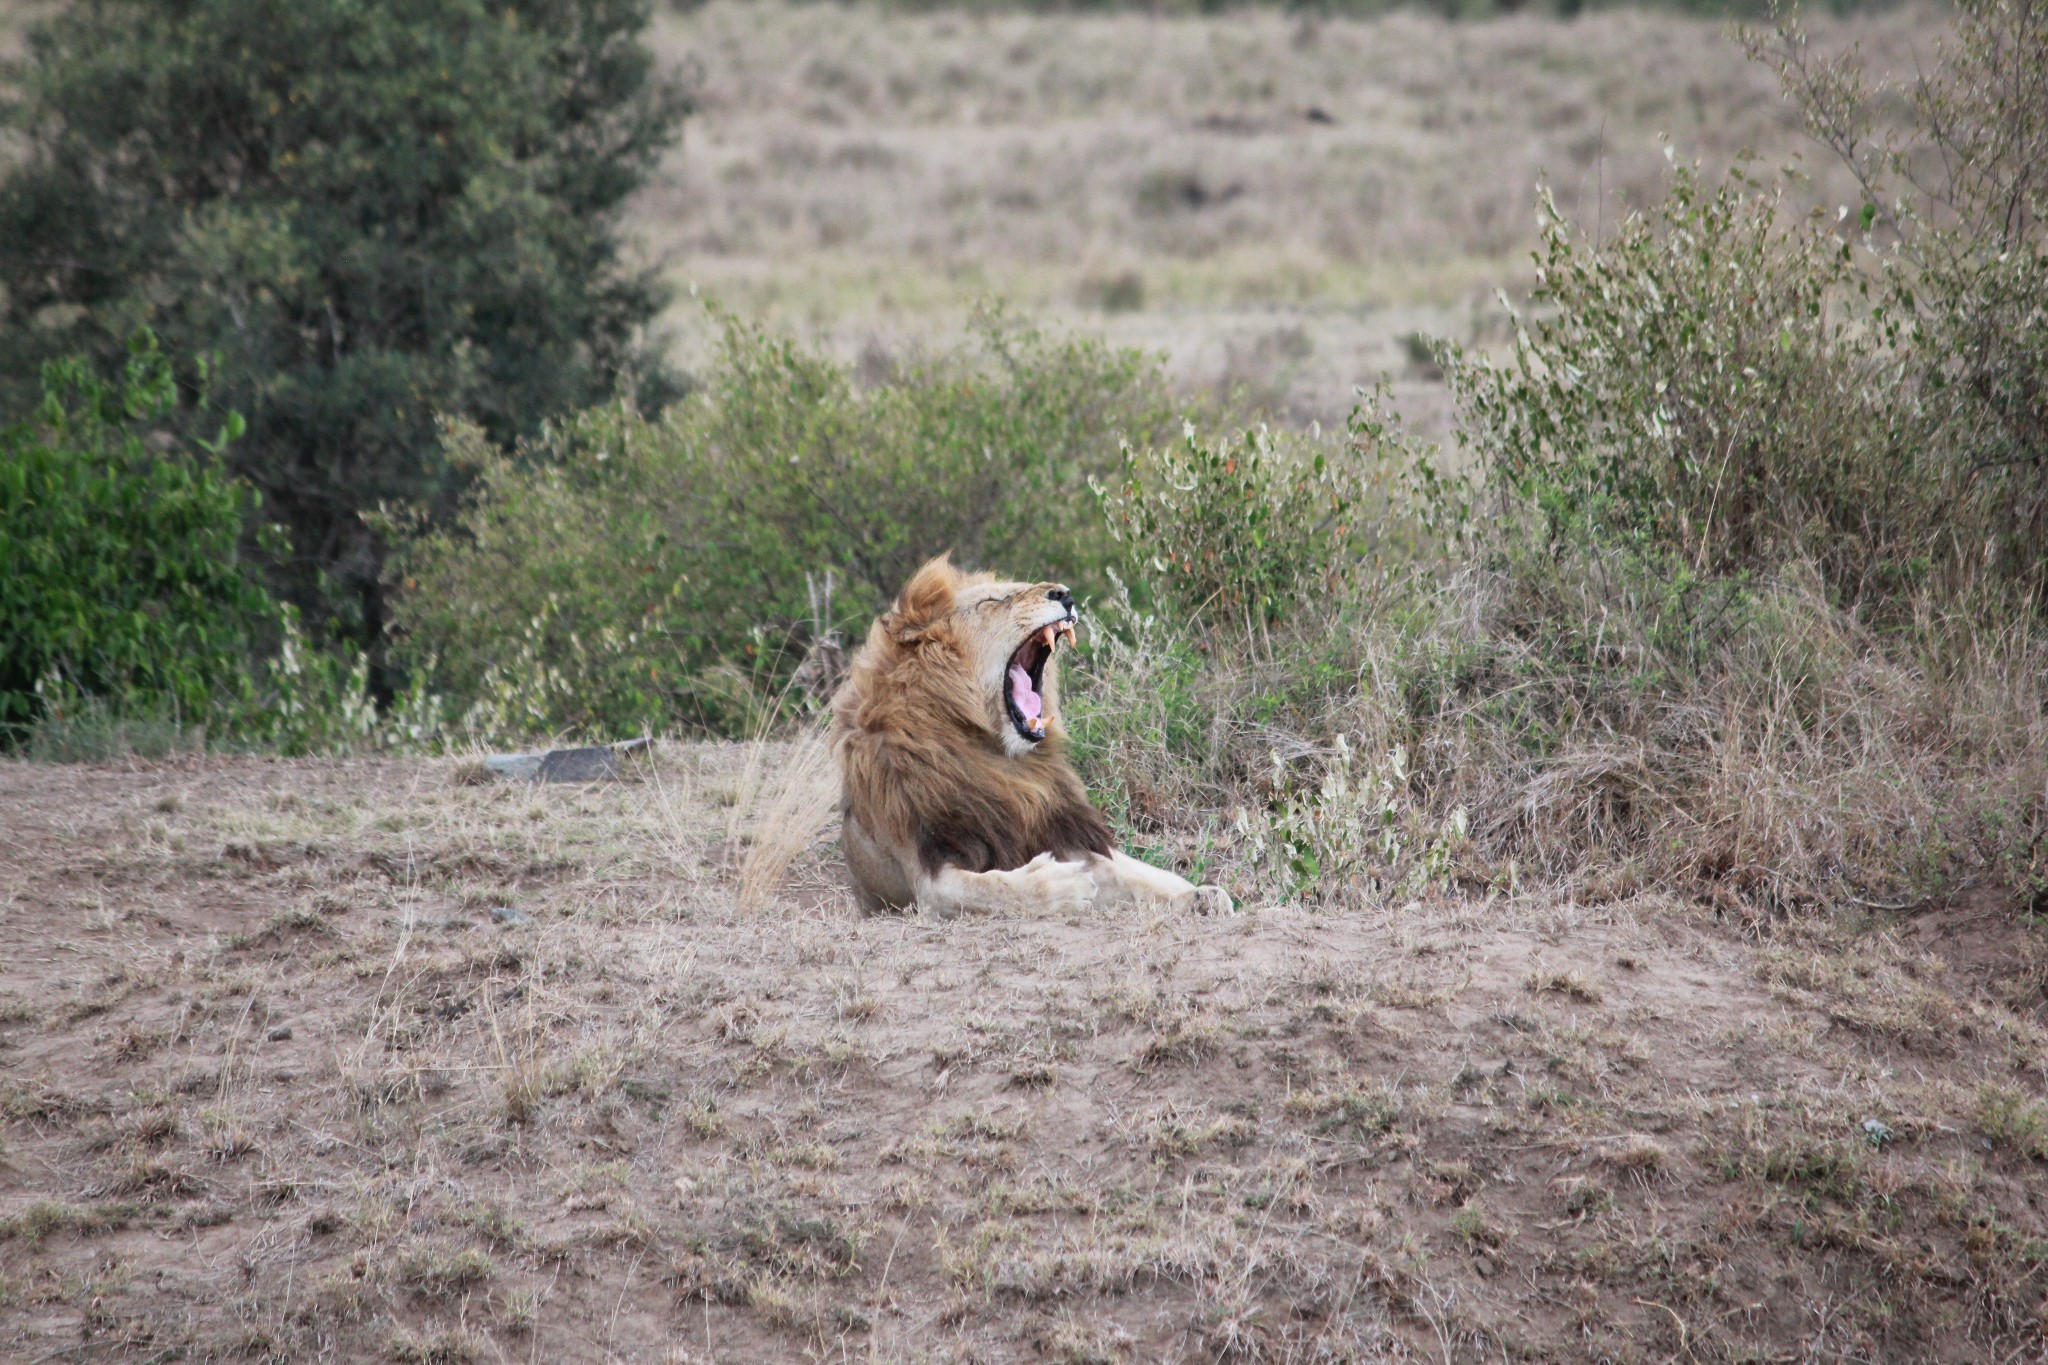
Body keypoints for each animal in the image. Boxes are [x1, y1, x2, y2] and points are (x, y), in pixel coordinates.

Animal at [827, 556, 1228, 916]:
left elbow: (1132, 881)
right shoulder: (926, 880)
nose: (1065, 594)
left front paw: (1197, 897)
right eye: (990, 602)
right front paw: (1064, 883)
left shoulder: (1053, 828)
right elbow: (994, 888)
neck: (999, 756)